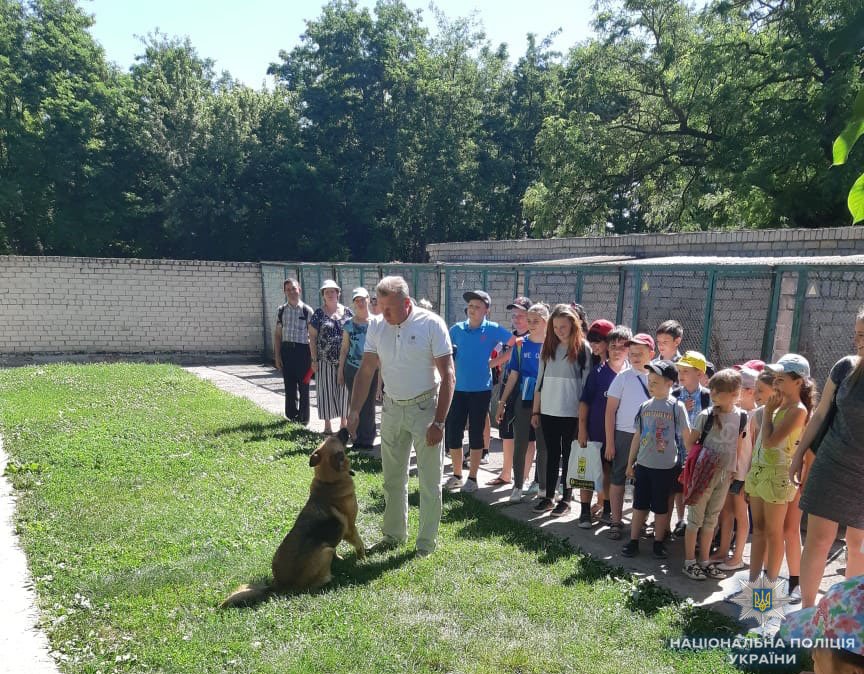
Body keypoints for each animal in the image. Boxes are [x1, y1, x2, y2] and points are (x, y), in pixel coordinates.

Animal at [219, 428, 364, 608]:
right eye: (335, 436)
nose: (345, 429)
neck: (329, 482)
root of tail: (278, 585)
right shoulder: (350, 528)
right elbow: (359, 543)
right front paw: (363, 558)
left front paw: (341, 558)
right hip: (325, 551)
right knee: (314, 585)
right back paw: (330, 578)